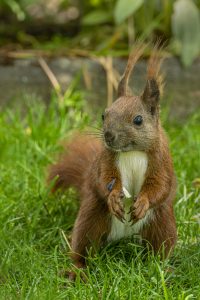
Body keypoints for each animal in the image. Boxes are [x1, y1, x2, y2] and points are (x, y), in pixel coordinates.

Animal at [48, 43, 177, 280]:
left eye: (138, 120)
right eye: (103, 115)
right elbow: (104, 178)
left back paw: (162, 269)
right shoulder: (106, 159)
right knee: (83, 247)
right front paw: (113, 197)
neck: (132, 151)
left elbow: (160, 185)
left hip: (162, 224)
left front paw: (143, 201)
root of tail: (125, 236)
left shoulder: (162, 161)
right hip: (91, 218)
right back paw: (77, 270)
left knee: (159, 250)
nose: (108, 136)